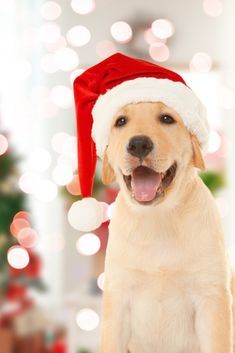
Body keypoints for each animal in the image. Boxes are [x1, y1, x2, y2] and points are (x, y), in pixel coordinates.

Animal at [98, 100, 233, 350]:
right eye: (121, 121)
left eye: (167, 118)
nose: (139, 144)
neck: (157, 217)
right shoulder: (118, 296)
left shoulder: (211, 296)